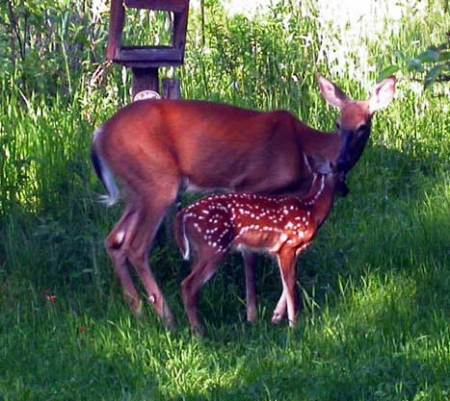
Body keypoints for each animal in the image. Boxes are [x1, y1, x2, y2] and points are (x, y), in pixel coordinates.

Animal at [175, 156, 344, 334]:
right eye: (342, 174)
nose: (346, 190)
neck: (311, 210)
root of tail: (182, 215)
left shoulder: (286, 251)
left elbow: (288, 283)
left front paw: (276, 317)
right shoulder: (287, 246)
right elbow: (290, 285)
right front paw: (294, 326)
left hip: (199, 252)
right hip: (213, 247)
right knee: (188, 285)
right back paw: (199, 332)